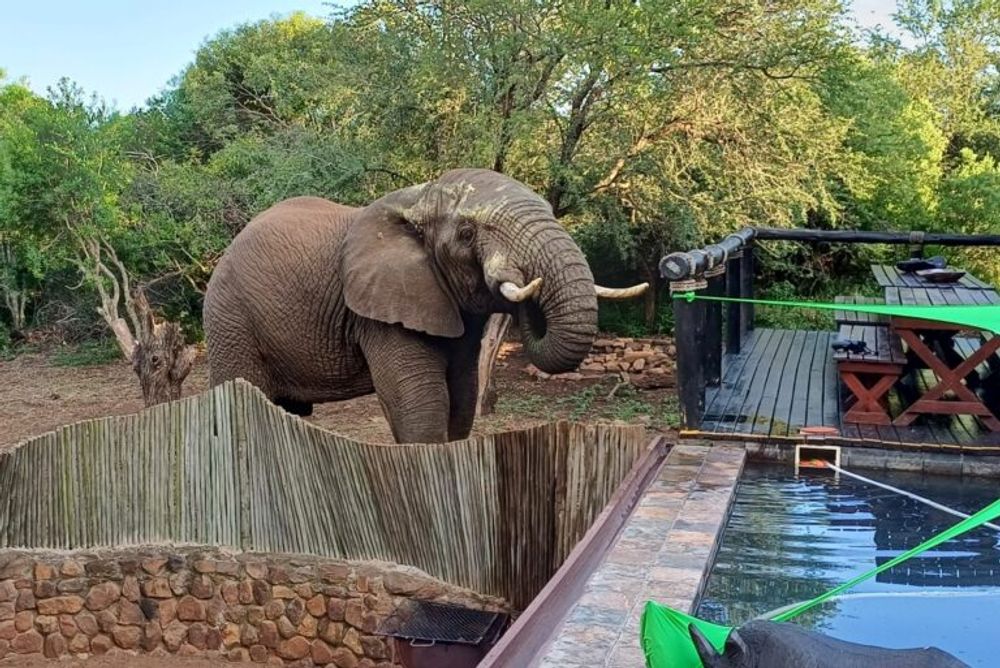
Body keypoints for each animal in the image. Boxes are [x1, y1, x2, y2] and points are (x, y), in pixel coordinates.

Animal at [203, 168, 646, 443]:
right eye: (467, 233)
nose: (526, 281)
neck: (419, 196)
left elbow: (462, 400)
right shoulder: (380, 308)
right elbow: (421, 403)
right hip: (229, 318)